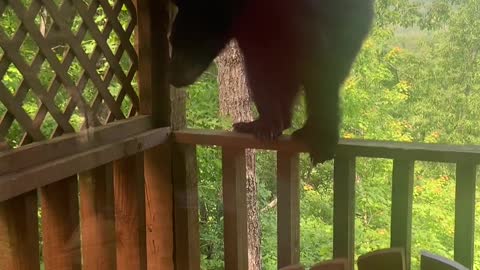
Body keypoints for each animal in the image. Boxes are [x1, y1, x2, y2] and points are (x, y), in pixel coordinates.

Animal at [169, 0, 376, 163]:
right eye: (172, 40)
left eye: (187, 43)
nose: (172, 77)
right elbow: (261, 69)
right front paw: (267, 125)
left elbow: (317, 64)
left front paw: (323, 140)